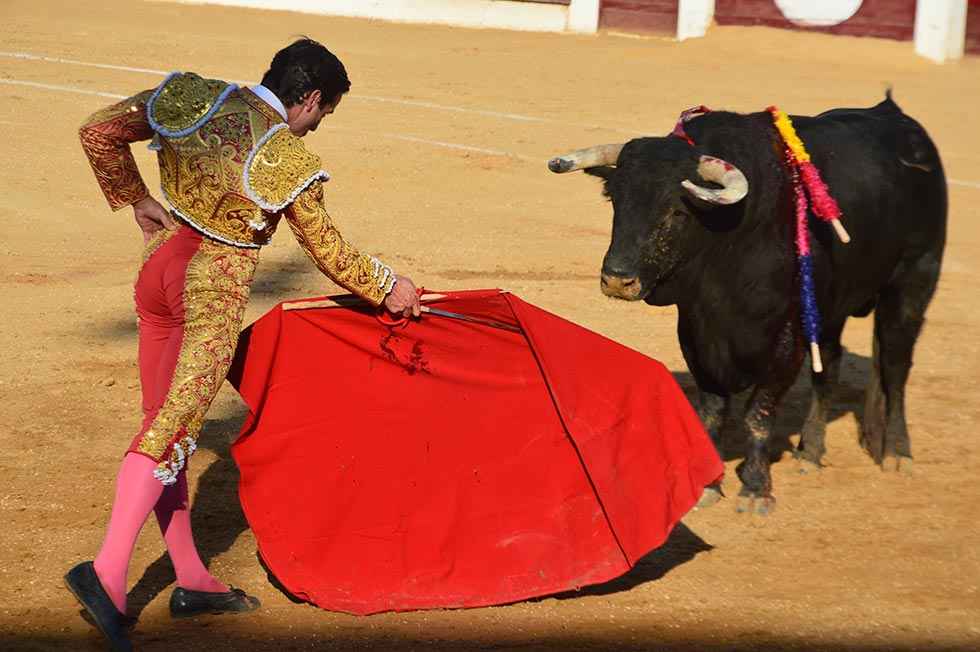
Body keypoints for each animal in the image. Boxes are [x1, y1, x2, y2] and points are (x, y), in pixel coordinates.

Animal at [548, 94, 944, 512]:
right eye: (615, 200)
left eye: (678, 210)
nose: (617, 279)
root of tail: (897, 118)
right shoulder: (696, 331)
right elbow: (711, 411)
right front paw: (707, 484)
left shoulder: (787, 338)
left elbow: (759, 413)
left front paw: (755, 488)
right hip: (831, 307)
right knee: (829, 366)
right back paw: (810, 452)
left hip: (913, 284)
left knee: (895, 367)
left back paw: (897, 453)